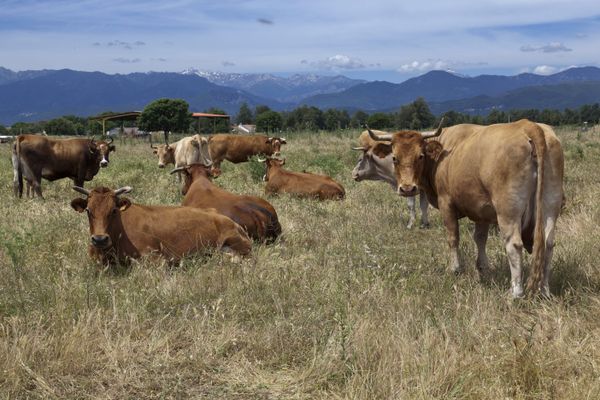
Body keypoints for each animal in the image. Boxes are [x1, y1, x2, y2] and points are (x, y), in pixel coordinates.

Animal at [368, 119, 564, 296]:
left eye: (420, 156)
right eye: (395, 158)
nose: (408, 188)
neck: (443, 154)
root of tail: (528, 125)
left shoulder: (446, 203)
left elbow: (453, 237)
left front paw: (455, 268)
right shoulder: (482, 209)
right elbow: (480, 238)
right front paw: (483, 267)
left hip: (508, 210)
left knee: (514, 245)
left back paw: (515, 292)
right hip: (550, 204)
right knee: (548, 244)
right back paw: (545, 290)